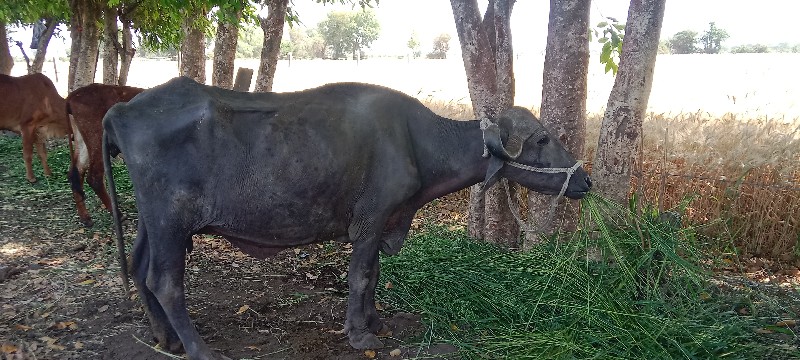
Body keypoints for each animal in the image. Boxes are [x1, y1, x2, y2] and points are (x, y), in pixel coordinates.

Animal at [67, 83, 144, 226]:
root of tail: (72, 96)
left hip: (84, 143)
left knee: (76, 173)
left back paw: (85, 218)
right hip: (97, 141)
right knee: (94, 178)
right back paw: (118, 215)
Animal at [103, 77, 592, 358]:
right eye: (543, 139)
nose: (585, 180)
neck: (416, 141)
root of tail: (124, 109)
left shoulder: (384, 221)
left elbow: (373, 275)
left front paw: (374, 321)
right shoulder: (371, 221)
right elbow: (359, 276)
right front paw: (359, 334)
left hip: (153, 222)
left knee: (140, 268)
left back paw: (164, 338)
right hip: (170, 221)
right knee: (166, 281)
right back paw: (197, 348)